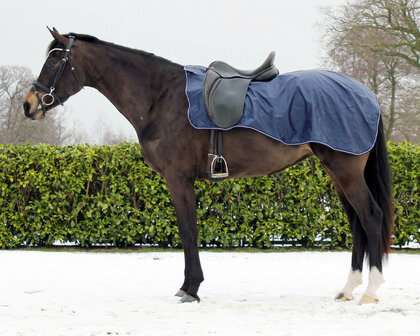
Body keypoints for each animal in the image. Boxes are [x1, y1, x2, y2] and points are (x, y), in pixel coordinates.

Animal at [23, 27, 392, 304]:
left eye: (55, 59)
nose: (29, 105)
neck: (161, 97)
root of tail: (367, 95)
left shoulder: (178, 178)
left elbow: (188, 230)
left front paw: (191, 288)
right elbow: (188, 230)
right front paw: (189, 286)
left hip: (345, 172)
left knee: (371, 217)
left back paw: (371, 290)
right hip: (337, 174)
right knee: (357, 223)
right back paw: (348, 288)